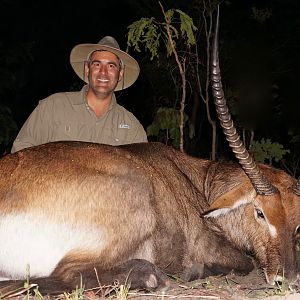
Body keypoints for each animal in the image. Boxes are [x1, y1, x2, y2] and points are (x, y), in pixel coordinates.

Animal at [0, 5, 298, 294]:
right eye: (260, 212)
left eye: (297, 223)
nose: (288, 280)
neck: (198, 181)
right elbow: (245, 262)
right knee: (65, 274)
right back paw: (157, 277)